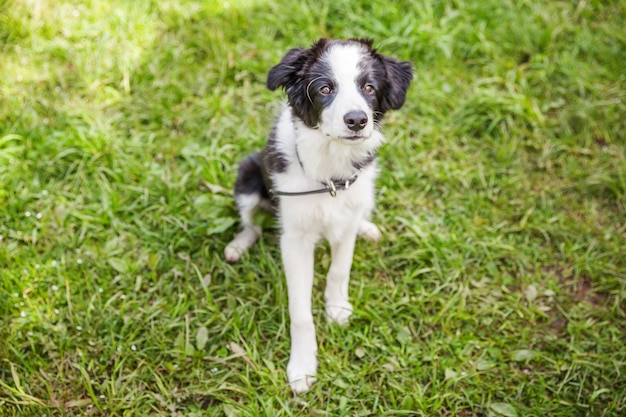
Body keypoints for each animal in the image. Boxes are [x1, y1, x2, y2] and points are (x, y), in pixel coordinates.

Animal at [223, 37, 410, 392]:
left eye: (368, 87)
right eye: (325, 88)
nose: (357, 120)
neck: (330, 170)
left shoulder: (346, 217)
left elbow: (339, 269)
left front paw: (337, 308)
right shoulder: (295, 240)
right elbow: (299, 311)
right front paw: (302, 366)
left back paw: (367, 227)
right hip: (247, 177)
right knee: (251, 224)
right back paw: (238, 246)